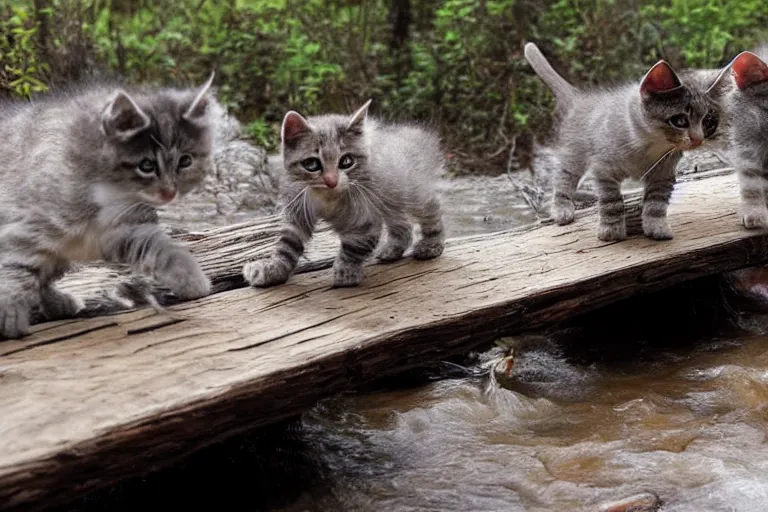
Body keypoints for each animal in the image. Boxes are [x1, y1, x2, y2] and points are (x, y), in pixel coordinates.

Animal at [0, 74, 216, 338]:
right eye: (146, 165)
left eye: (185, 161)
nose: (169, 193)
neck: (109, 193)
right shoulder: (26, 224)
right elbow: (16, 267)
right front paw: (10, 313)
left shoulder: (122, 229)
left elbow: (160, 247)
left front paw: (190, 277)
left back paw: (59, 303)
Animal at [243, 100, 448, 288]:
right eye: (312, 164)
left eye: (346, 161)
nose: (331, 181)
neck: (326, 197)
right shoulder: (298, 209)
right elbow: (286, 245)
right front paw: (273, 269)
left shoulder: (365, 220)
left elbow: (353, 248)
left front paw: (346, 271)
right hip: (389, 199)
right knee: (402, 225)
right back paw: (392, 249)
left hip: (411, 193)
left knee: (432, 210)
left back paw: (431, 244)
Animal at [520, 42, 732, 242]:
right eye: (680, 120)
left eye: (708, 122)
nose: (698, 139)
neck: (650, 146)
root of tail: (581, 98)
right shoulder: (603, 169)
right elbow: (611, 200)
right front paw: (611, 230)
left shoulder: (663, 174)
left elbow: (656, 202)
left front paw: (656, 226)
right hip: (574, 153)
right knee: (564, 177)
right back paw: (562, 207)